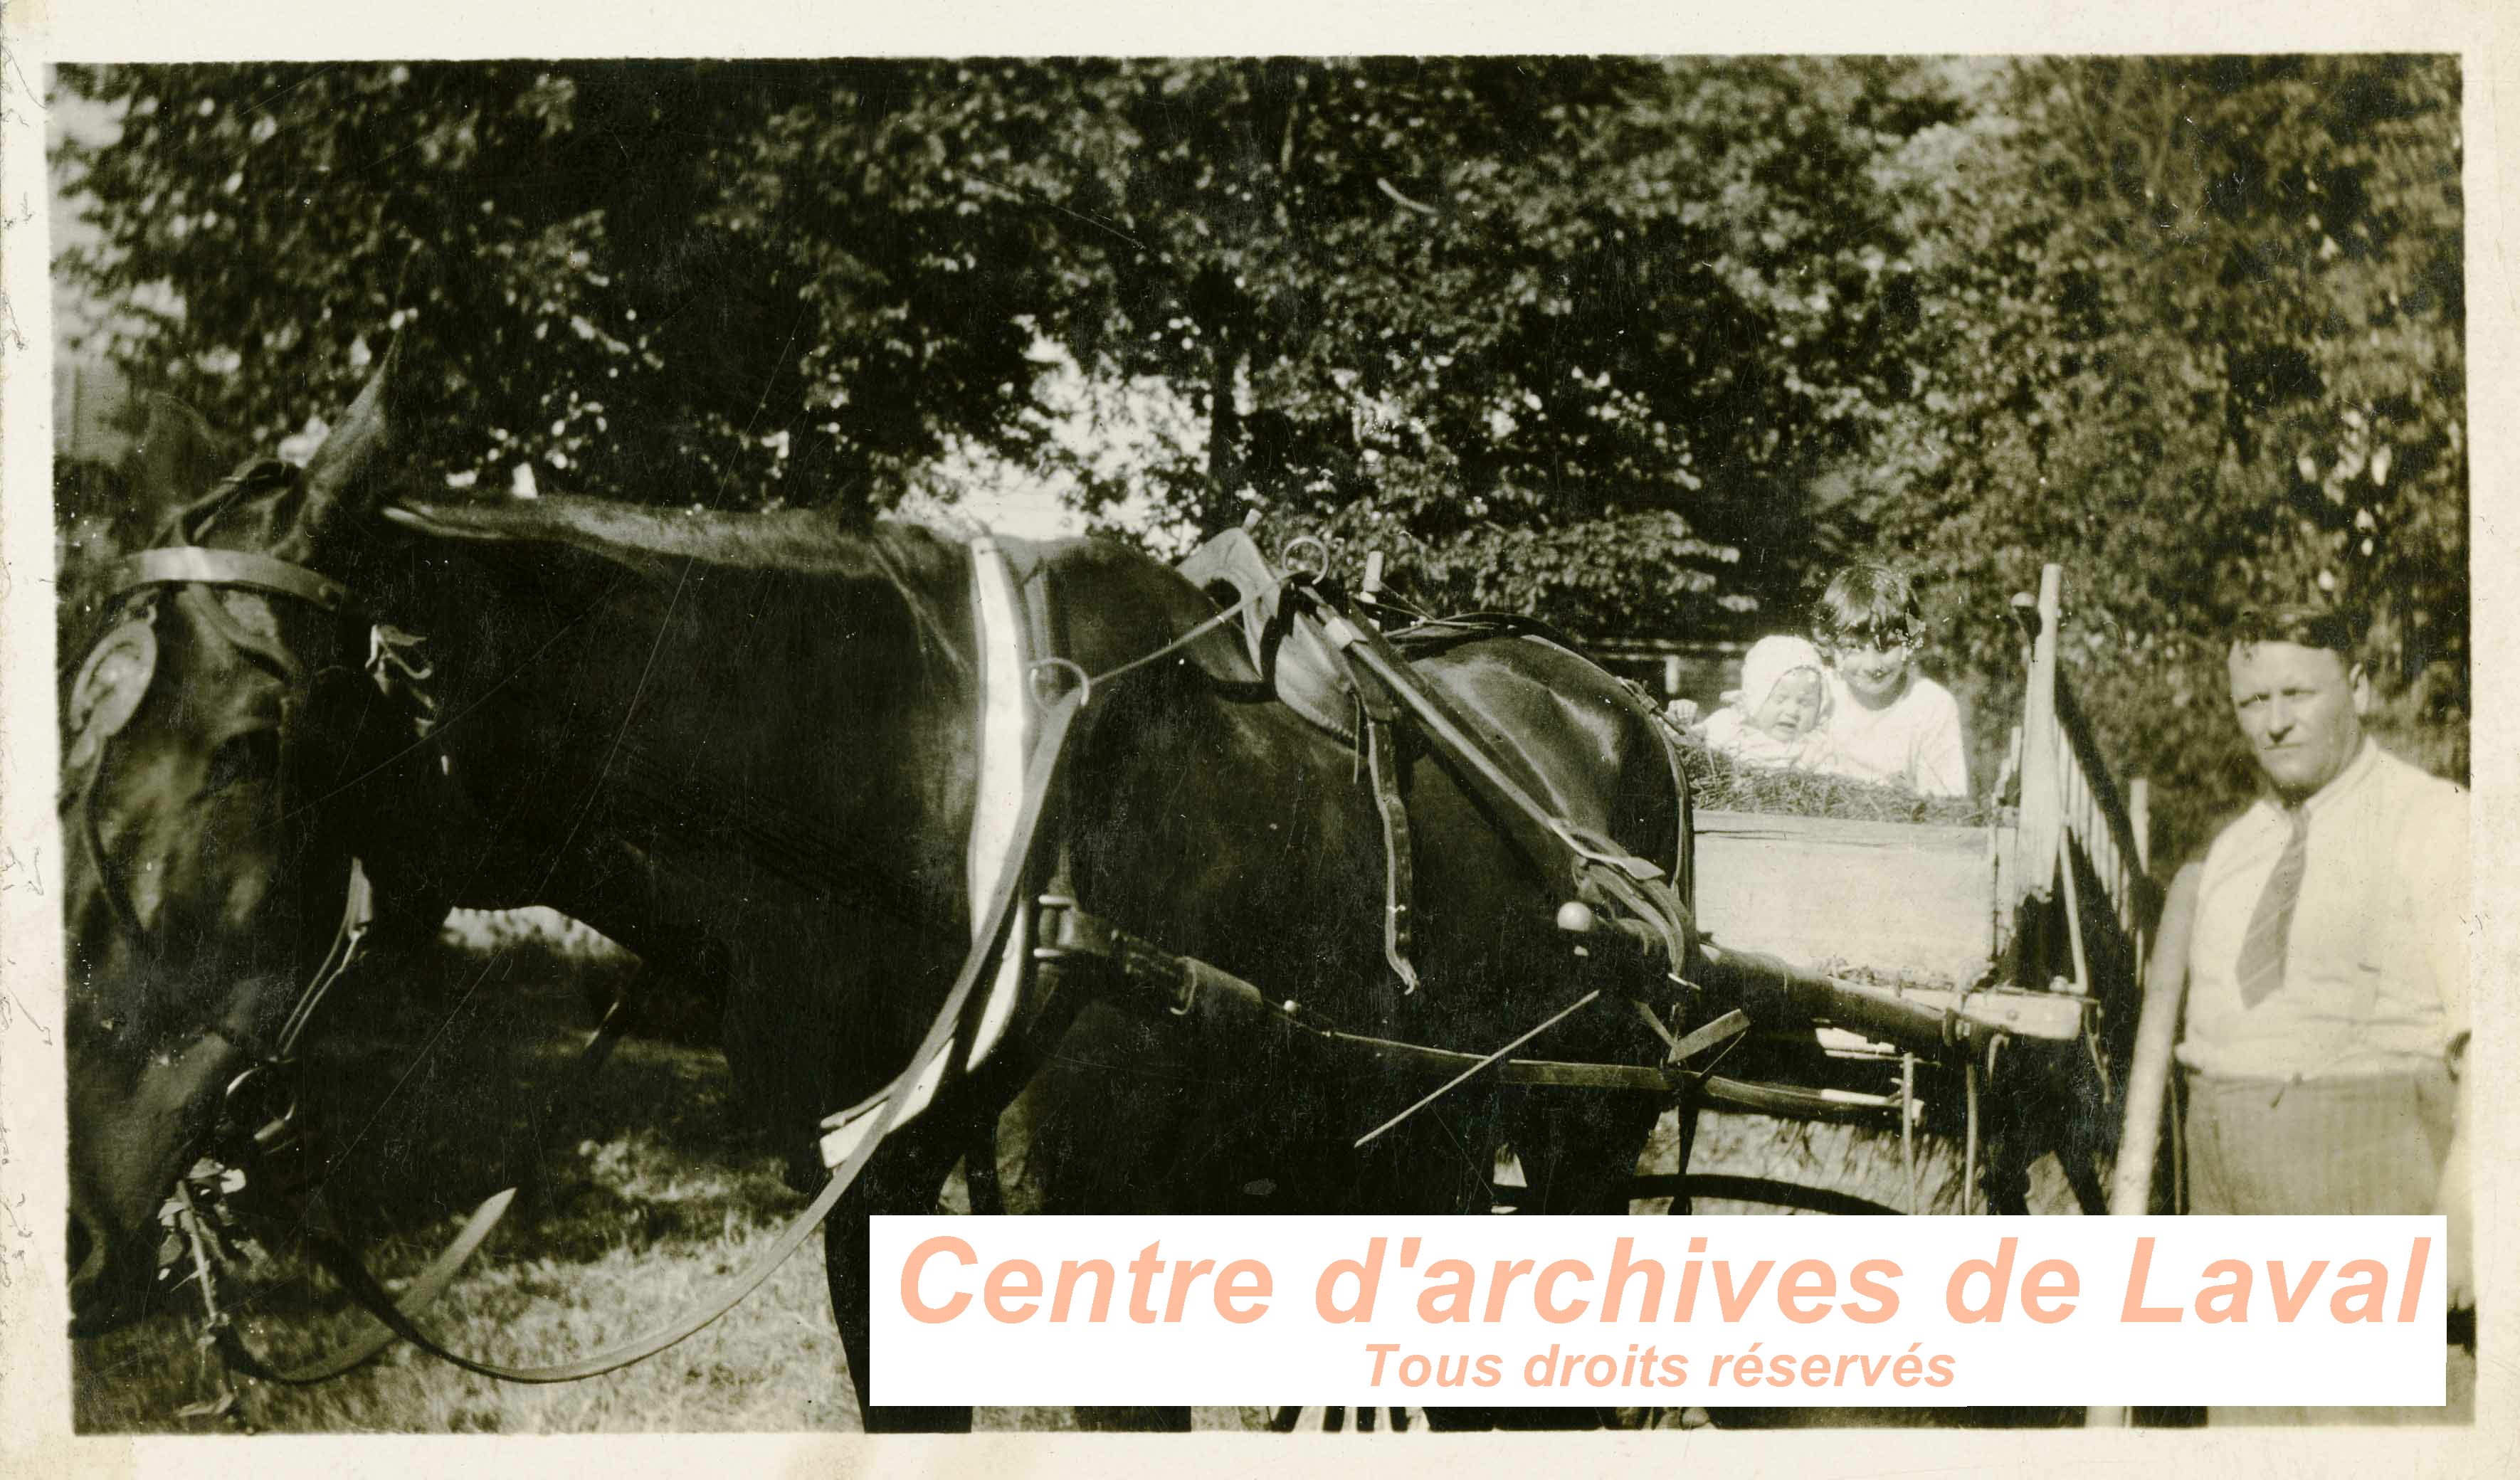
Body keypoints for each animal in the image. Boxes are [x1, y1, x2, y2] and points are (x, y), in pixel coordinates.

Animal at [68, 353, 1693, 1432]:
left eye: (251, 742)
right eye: (76, 731)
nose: (81, 1212)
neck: (955, 812)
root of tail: (1618, 702)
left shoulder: (1110, 1218)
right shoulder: (868, 1203)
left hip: (1576, 1136)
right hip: (1403, 1136)